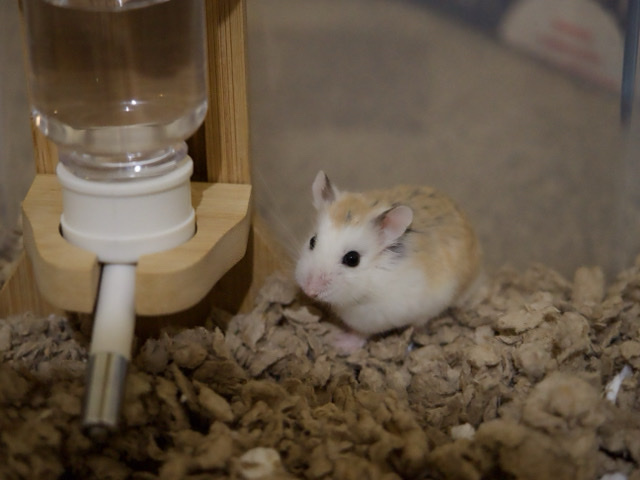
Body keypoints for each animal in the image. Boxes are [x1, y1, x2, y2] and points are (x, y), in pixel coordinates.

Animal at [295, 171, 482, 336]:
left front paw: (340, 341)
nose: (309, 291)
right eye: (312, 241)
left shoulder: (375, 318)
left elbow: (361, 333)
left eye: (352, 259)